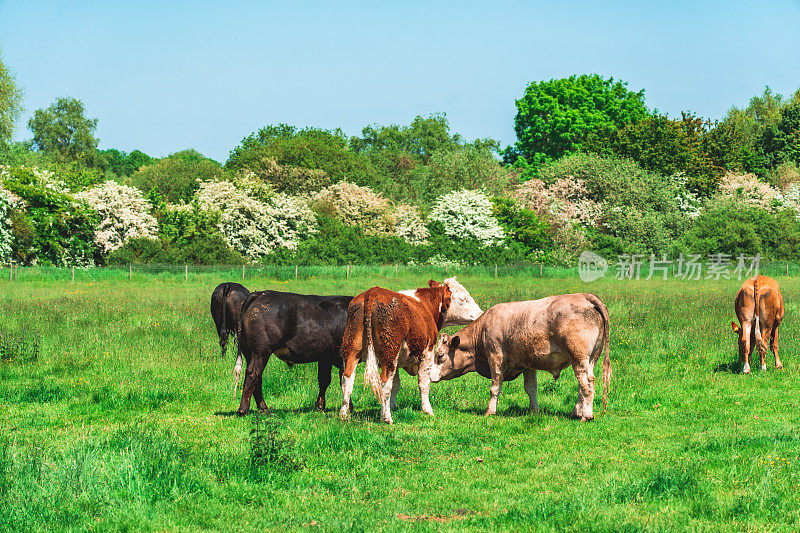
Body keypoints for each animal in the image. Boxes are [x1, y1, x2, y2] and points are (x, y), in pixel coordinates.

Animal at [338, 276, 482, 422]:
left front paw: (392, 406)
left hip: (352, 349)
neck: (427, 306)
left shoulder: (397, 362)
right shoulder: (427, 353)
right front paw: (427, 410)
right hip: (390, 352)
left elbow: (396, 384)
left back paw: (344, 415)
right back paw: (387, 418)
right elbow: (424, 383)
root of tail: (372, 293)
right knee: (384, 382)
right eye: (463, 299)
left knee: (347, 379)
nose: (481, 313)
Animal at [432, 290, 612, 420]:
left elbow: (495, 388)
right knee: (583, 385)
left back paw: (586, 415)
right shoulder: (528, 364)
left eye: (440, 355)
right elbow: (531, 388)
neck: (483, 329)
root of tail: (585, 296)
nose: (431, 377)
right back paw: (577, 412)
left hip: (579, 359)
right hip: (591, 359)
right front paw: (535, 411)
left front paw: (490, 411)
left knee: (586, 385)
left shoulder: (495, 357)